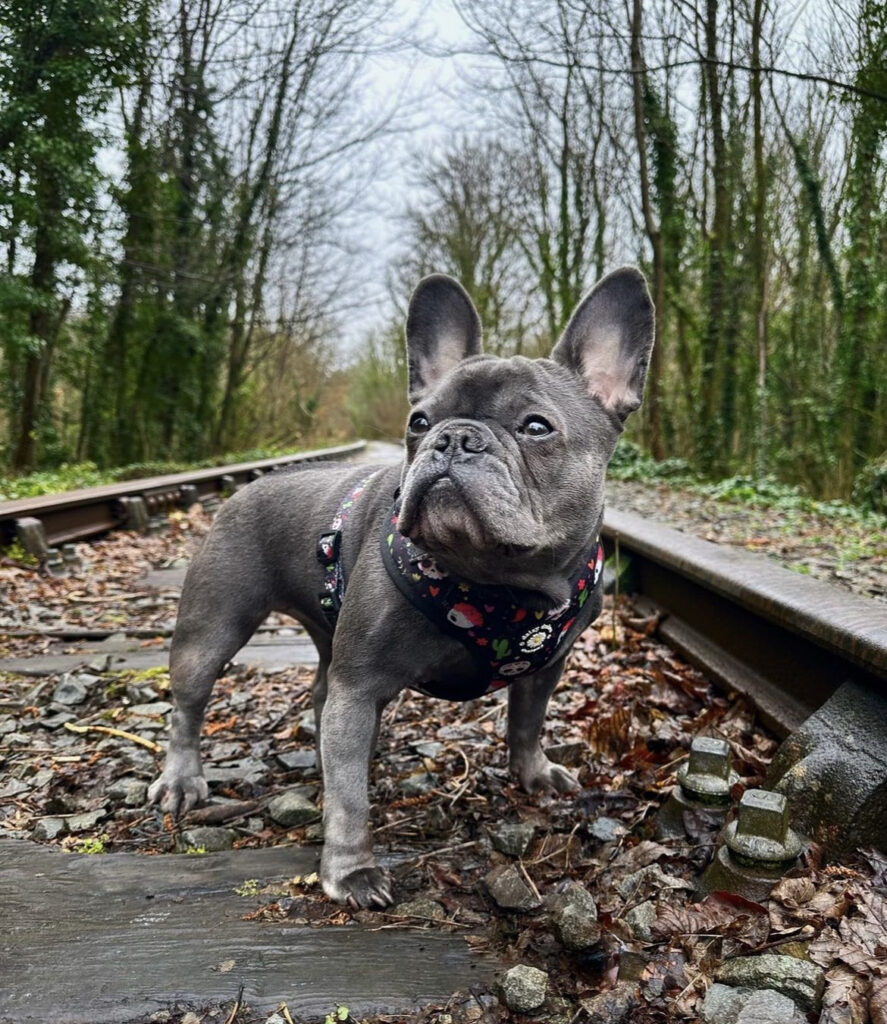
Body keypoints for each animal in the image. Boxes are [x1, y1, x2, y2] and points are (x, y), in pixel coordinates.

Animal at [148, 268, 651, 909]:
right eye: (420, 422)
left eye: (536, 427)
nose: (454, 438)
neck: (500, 586)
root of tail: (248, 488)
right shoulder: (360, 686)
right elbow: (350, 800)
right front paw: (351, 870)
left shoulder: (545, 667)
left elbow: (527, 721)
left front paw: (534, 773)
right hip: (212, 627)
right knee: (189, 704)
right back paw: (182, 780)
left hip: (328, 638)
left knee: (322, 696)